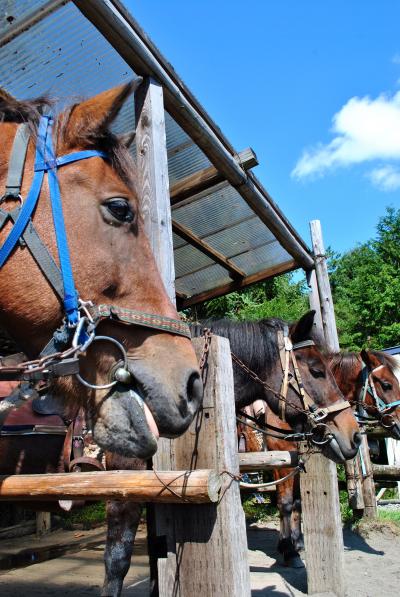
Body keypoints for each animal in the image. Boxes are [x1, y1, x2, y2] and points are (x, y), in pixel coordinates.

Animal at [266, 346, 400, 564]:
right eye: (387, 384)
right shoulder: (281, 457)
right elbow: (285, 503)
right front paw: (288, 550)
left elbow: (297, 502)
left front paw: (297, 542)